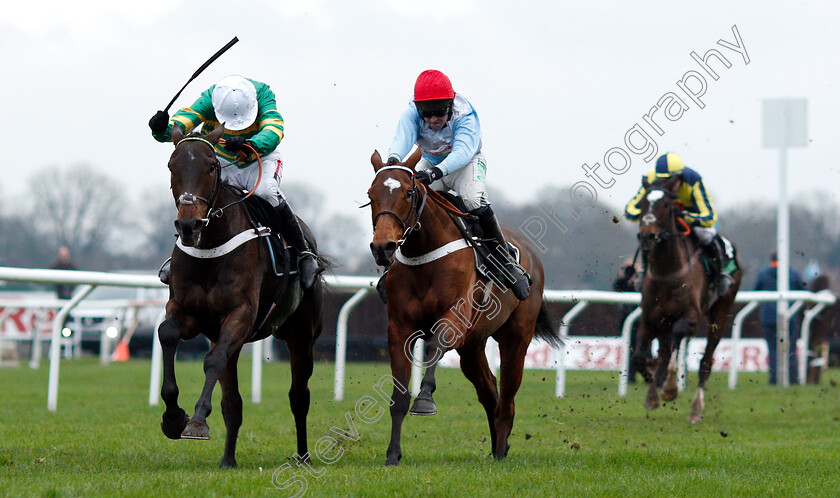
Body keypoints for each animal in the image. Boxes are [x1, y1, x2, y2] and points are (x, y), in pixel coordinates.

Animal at [159, 125, 324, 466]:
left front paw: (197, 421)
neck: (210, 248)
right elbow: (167, 333)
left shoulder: (241, 314)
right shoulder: (186, 311)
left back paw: (303, 455)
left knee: (299, 396)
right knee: (232, 402)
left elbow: (212, 360)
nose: (188, 224)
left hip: (302, 335)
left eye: (211, 166)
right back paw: (228, 460)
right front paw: (173, 418)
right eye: (172, 166)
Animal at [366, 150, 556, 464]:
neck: (425, 255)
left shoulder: (454, 318)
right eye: (371, 194)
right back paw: (498, 445)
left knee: (507, 399)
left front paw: (425, 399)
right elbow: (399, 395)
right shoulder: (399, 328)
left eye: (408, 193)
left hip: (516, 338)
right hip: (472, 346)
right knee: (490, 391)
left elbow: (434, 347)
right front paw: (393, 454)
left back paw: (501, 450)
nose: (384, 247)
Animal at [632, 177, 740, 422]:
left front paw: (670, 389)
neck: (668, 272)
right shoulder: (649, 319)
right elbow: (641, 357)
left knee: (705, 361)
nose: (647, 236)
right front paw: (651, 394)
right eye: (642, 203)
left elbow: (674, 354)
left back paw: (696, 409)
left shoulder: (690, 318)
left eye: (665, 205)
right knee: (664, 352)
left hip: (721, 311)